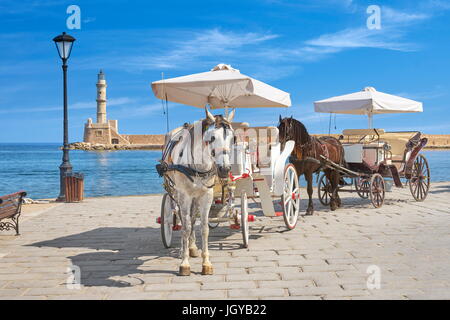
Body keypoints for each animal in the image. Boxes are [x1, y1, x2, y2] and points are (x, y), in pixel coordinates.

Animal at [161, 107, 234, 276]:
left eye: (232, 138)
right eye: (212, 137)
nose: (224, 169)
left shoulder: (206, 196)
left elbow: (204, 228)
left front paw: (206, 263)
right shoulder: (184, 196)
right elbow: (186, 227)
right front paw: (184, 263)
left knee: (193, 218)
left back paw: (192, 247)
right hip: (176, 193)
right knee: (181, 218)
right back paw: (184, 248)